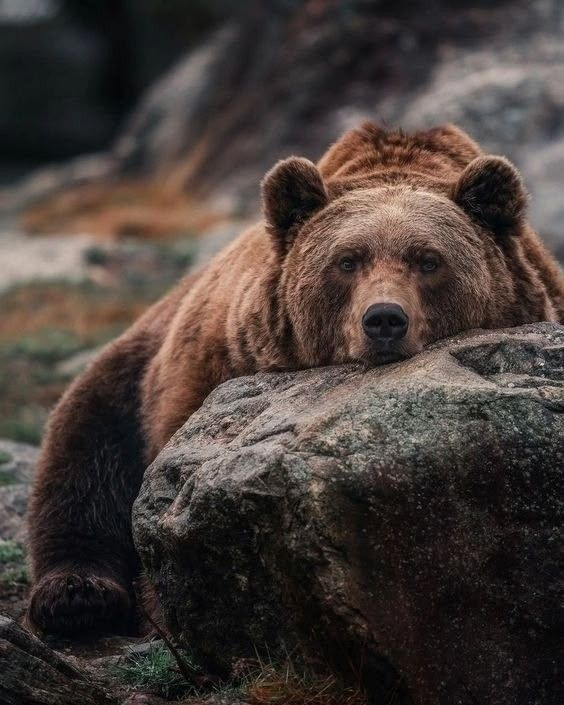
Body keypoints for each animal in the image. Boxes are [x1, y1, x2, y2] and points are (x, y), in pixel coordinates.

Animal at [27, 122, 564, 636]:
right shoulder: (212, 365)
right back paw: (77, 595)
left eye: (429, 260)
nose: (384, 319)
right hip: (131, 370)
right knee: (83, 452)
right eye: (347, 260)